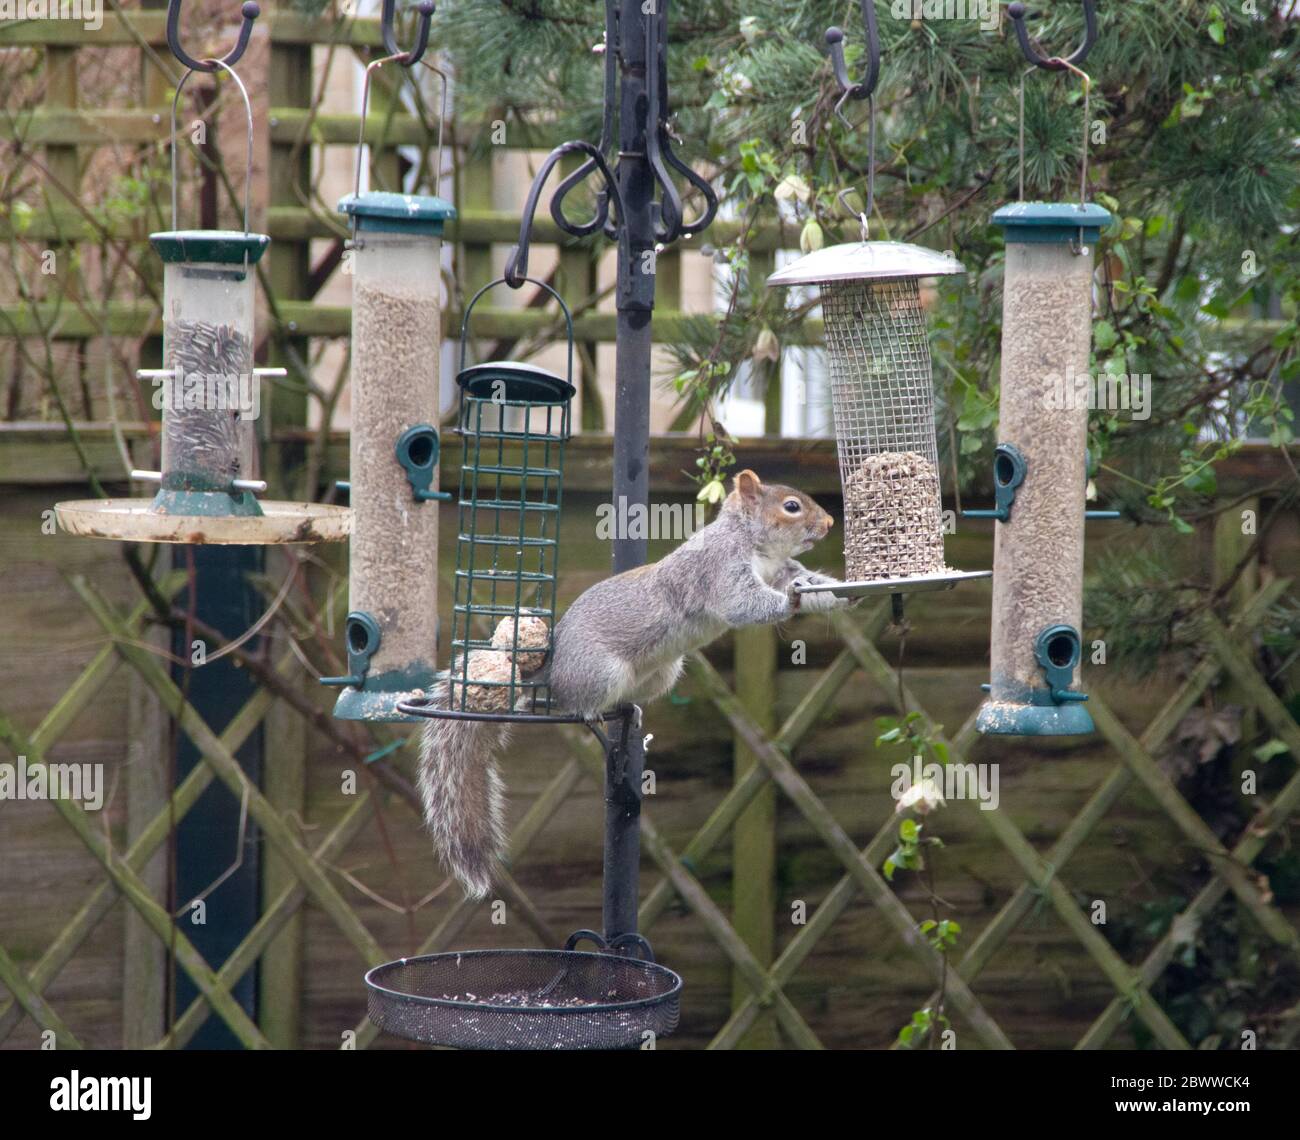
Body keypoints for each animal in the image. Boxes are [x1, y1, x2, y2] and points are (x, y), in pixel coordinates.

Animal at [413, 467, 842, 894]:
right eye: (791, 506)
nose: (829, 523)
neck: (757, 547)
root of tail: (549, 669)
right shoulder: (720, 569)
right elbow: (743, 604)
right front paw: (789, 602)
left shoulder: (781, 570)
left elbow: (810, 583)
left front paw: (838, 595)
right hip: (599, 671)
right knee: (560, 703)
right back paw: (585, 712)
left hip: (661, 674)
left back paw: (628, 709)